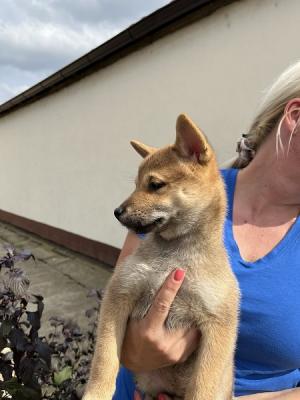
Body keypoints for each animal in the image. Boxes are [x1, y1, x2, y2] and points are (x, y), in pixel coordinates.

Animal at [83, 114, 240, 398]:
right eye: (135, 185)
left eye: (155, 185)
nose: (117, 211)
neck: (175, 256)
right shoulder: (119, 293)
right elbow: (105, 358)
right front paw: (96, 393)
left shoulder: (219, 324)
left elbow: (203, 384)